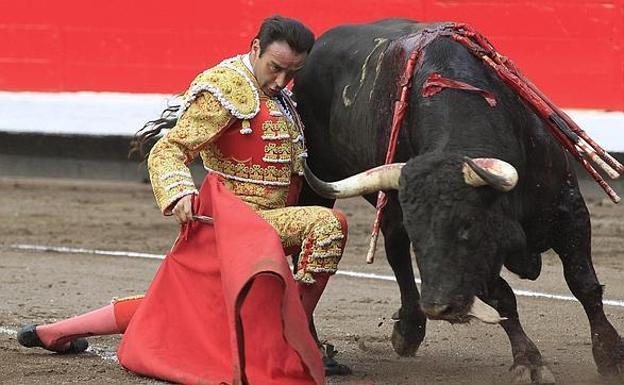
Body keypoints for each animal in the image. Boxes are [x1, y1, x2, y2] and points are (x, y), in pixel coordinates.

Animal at [294, 17, 624, 380]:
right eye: (421, 237)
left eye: (467, 228)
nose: (439, 307)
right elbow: (504, 298)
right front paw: (528, 361)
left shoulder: (569, 211)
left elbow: (583, 283)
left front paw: (611, 356)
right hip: (323, 189)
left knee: (394, 246)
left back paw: (408, 329)